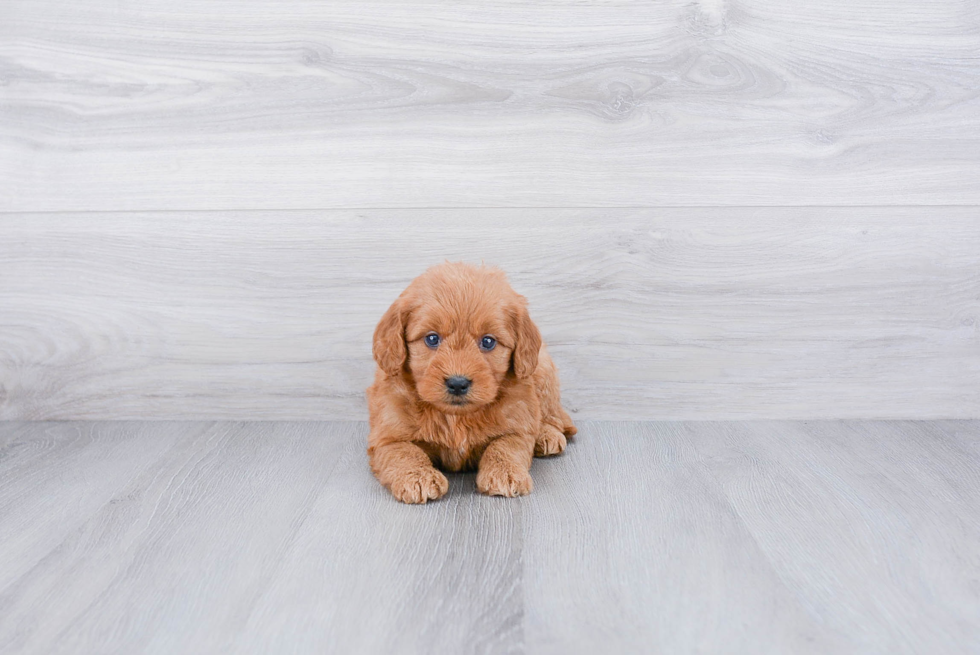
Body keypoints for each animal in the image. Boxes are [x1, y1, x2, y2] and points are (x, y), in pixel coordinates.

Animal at [366, 264, 576, 504]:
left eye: (488, 341)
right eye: (432, 339)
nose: (457, 383)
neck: (457, 418)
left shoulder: (518, 425)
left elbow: (504, 445)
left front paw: (505, 473)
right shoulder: (386, 437)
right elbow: (404, 452)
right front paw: (418, 478)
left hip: (542, 369)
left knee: (552, 414)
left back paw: (547, 434)